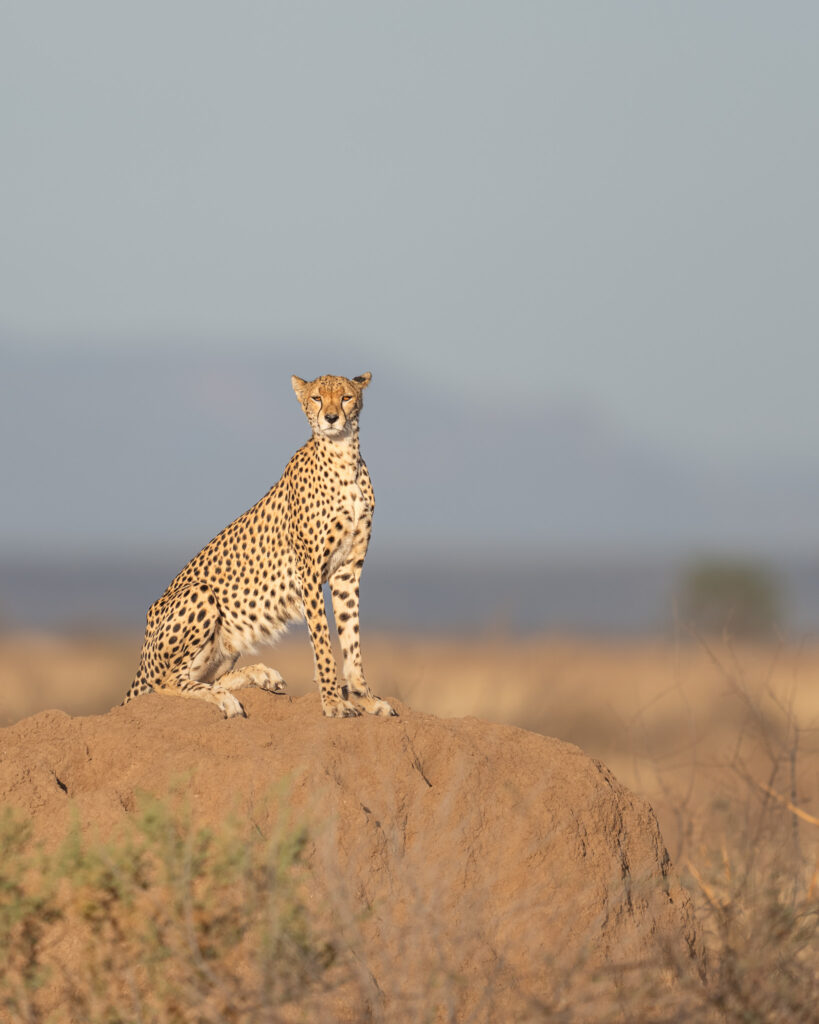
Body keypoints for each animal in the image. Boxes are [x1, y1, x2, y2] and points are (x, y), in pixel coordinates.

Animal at [122, 372, 396, 720]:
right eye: (317, 398)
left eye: (346, 397)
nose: (332, 418)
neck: (344, 457)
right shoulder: (308, 571)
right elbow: (322, 638)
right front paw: (334, 702)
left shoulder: (348, 569)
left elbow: (352, 639)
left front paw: (366, 698)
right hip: (199, 593)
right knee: (166, 680)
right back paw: (226, 698)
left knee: (205, 676)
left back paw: (262, 675)